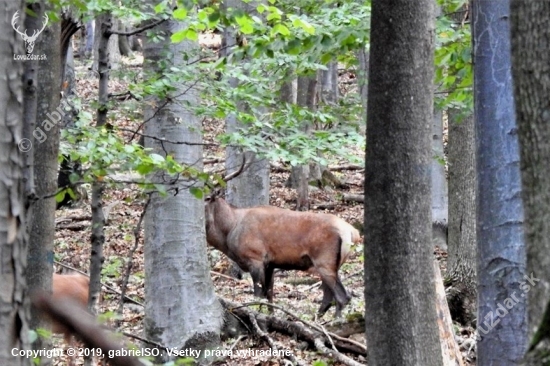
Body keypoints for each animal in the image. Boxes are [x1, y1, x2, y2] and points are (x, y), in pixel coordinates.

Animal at [207, 196, 362, 316]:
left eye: (206, 199)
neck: (229, 231)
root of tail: (353, 233)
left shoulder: (255, 258)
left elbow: (258, 295)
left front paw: (257, 313)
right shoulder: (269, 264)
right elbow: (269, 293)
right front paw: (271, 315)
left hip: (324, 261)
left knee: (342, 296)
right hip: (332, 265)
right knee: (329, 297)